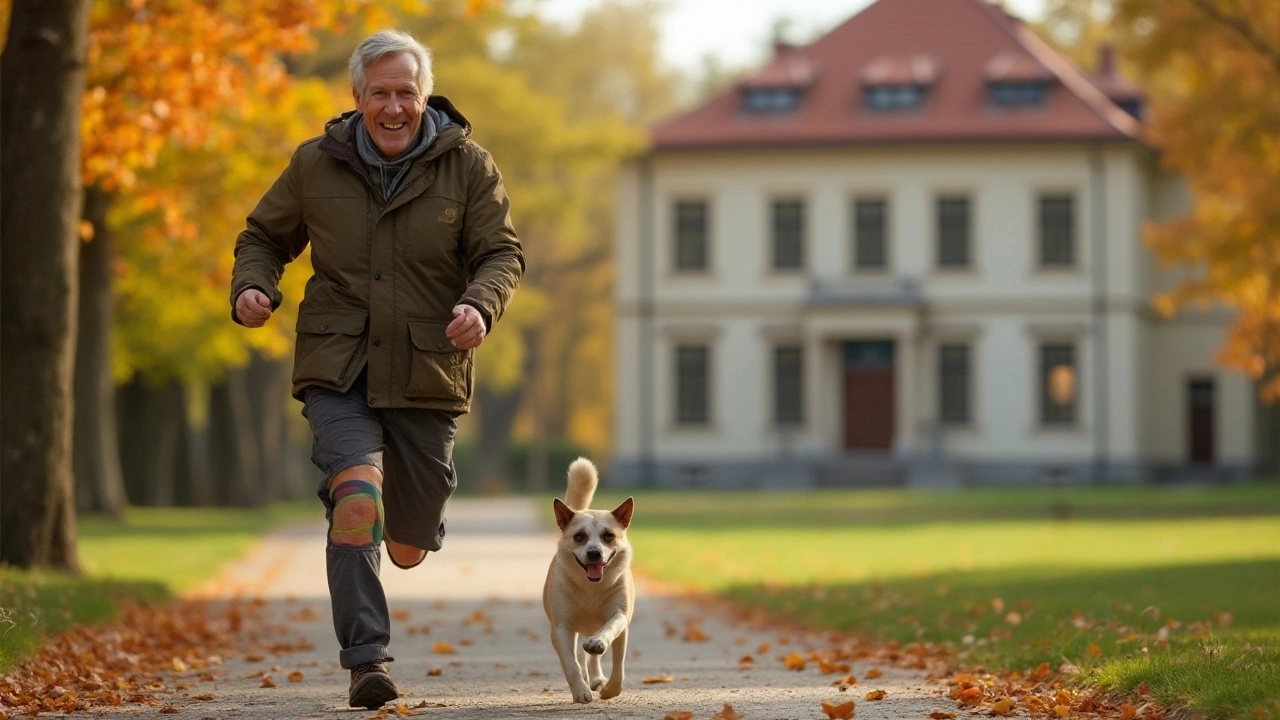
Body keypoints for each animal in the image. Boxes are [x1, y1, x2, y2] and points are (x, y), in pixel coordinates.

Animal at [542, 453, 637, 702]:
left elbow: (617, 663)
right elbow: (571, 664)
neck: (591, 588)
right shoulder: (561, 627)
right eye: (579, 536)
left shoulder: (620, 616)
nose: (594, 553)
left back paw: (596, 676)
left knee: (594, 655)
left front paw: (609, 689)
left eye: (608, 536)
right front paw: (581, 691)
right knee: (579, 659)